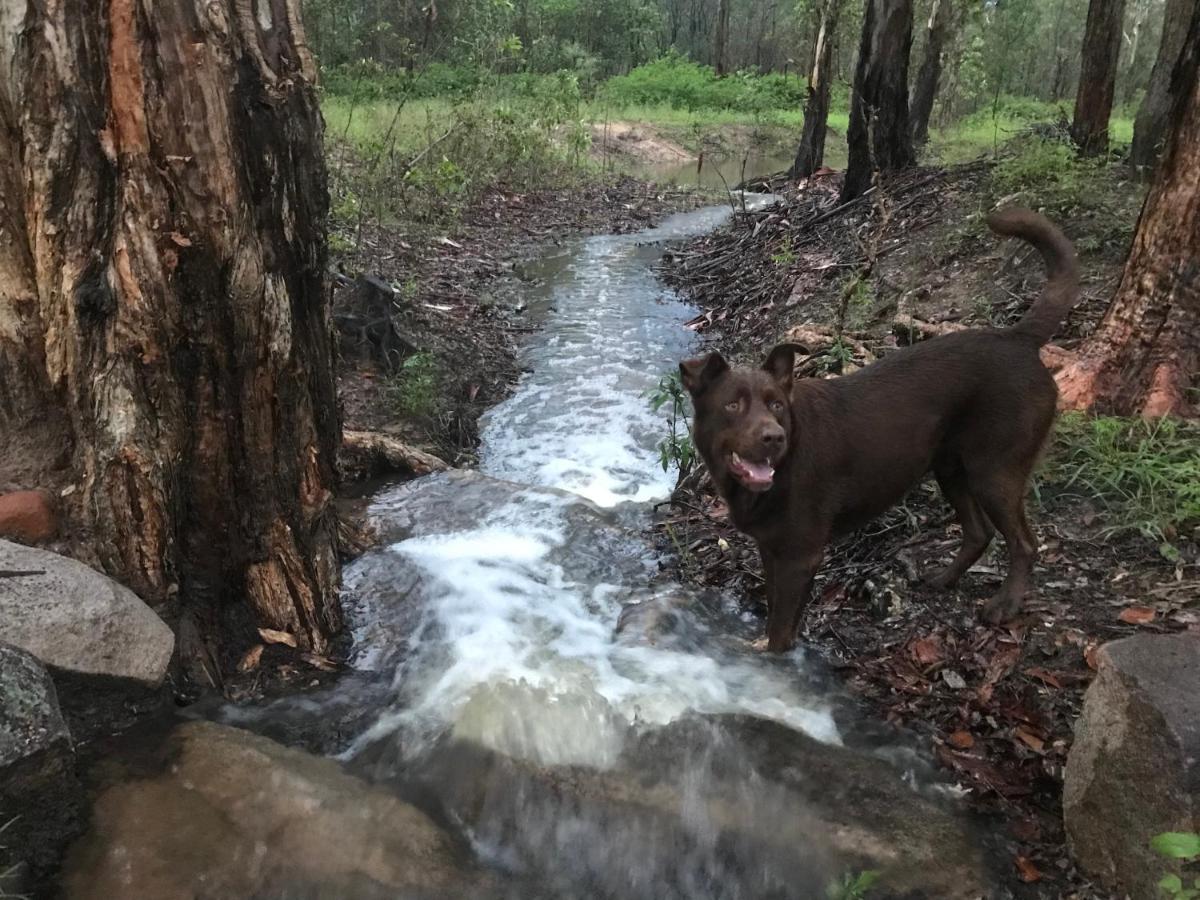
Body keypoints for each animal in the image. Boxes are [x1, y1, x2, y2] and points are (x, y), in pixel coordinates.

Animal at [681, 207, 1084, 652]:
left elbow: (779, 634)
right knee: (978, 533)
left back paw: (1004, 606)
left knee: (1024, 543)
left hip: (994, 471)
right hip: (950, 468)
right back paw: (943, 579)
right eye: (732, 405)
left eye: (777, 406)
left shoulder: (799, 557)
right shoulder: (774, 552)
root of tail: (1019, 338)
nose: (774, 438)